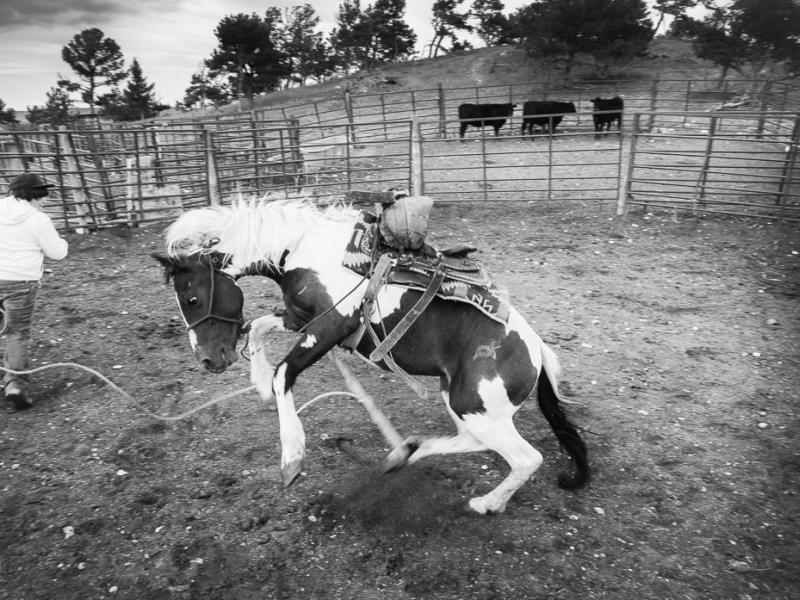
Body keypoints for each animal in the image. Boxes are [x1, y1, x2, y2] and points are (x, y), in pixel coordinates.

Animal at [152, 199, 588, 512]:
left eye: (192, 299)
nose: (208, 361)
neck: (304, 249)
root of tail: (536, 352)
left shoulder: (330, 325)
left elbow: (284, 374)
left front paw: (291, 457)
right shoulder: (300, 317)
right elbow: (257, 327)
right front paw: (257, 381)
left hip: (478, 407)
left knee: (526, 458)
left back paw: (485, 503)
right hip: (461, 400)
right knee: (474, 441)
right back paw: (408, 453)